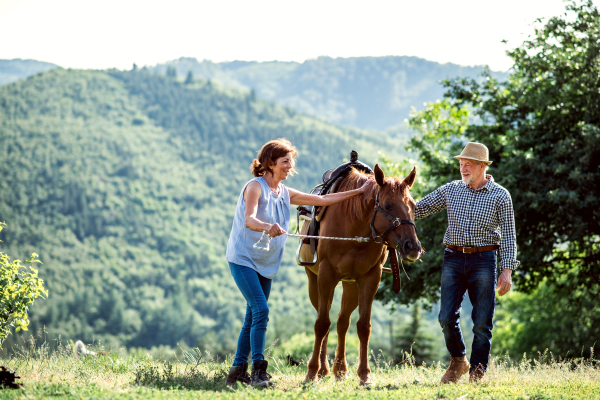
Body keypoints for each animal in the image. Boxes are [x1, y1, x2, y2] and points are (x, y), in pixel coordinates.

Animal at [300, 163, 422, 384]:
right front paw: (311, 372)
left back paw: (340, 368)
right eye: (388, 205)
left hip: (351, 286)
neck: (354, 226)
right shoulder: (326, 276)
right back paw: (323, 369)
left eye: (414, 205)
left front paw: (364, 374)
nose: (413, 247)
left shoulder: (370, 279)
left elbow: (364, 326)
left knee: (342, 322)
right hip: (315, 283)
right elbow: (321, 324)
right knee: (325, 319)